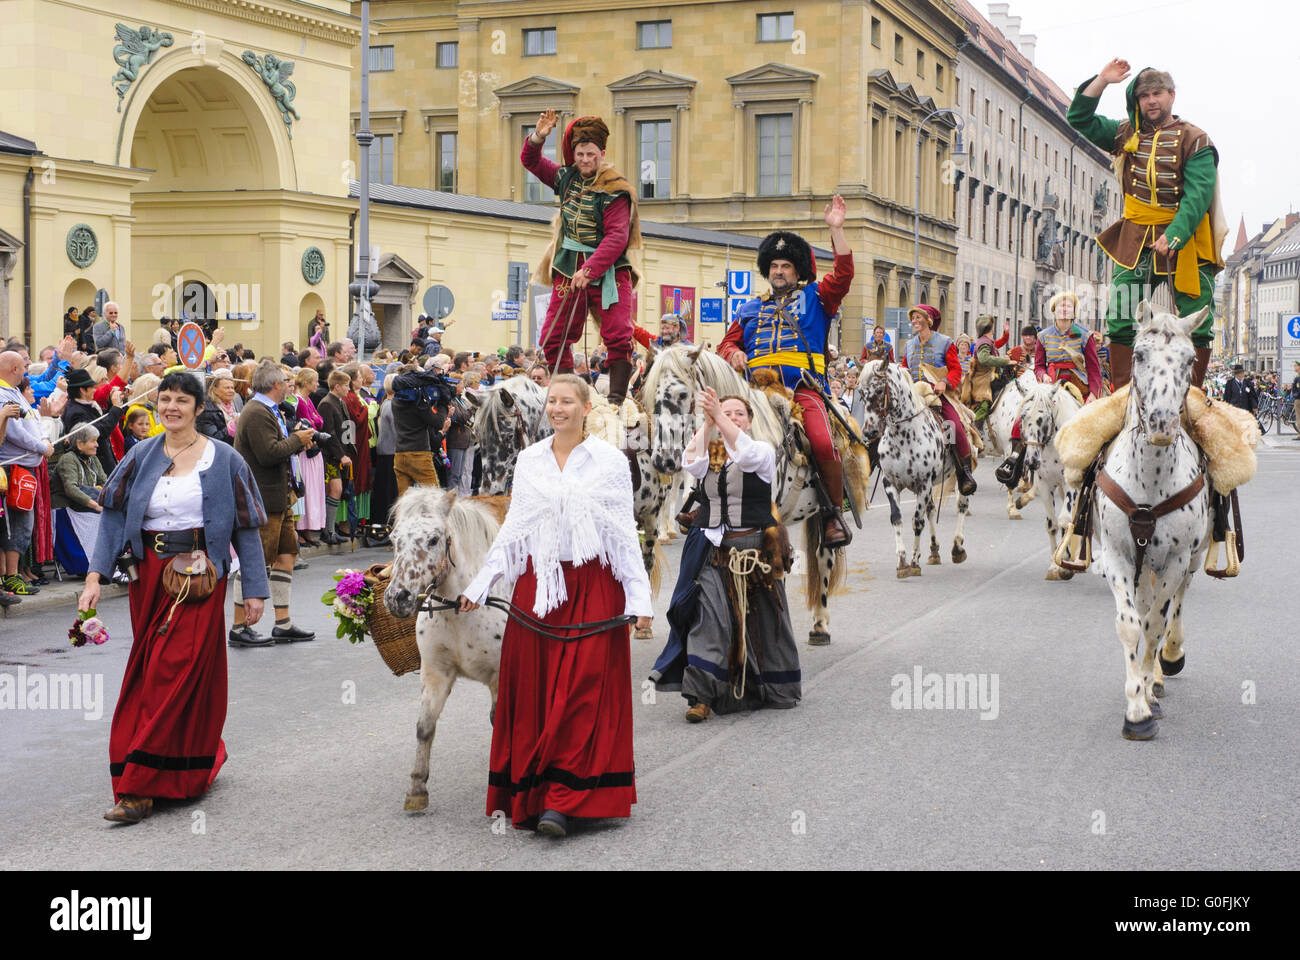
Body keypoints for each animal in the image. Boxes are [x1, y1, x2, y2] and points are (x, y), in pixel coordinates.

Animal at [379, 486, 506, 806]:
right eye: (393, 539)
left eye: (434, 539)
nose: (397, 597)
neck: (462, 607)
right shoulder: (435, 672)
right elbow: (424, 726)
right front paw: (417, 787)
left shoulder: (501, 675)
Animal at [857, 353, 972, 572]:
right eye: (860, 393)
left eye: (879, 390)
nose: (869, 432)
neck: (904, 437)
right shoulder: (891, 483)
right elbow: (897, 518)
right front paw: (902, 560)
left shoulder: (923, 483)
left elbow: (917, 521)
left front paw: (914, 561)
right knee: (931, 510)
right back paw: (934, 550)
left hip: (959, 476)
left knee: (962, 504)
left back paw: (958, 546)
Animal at [1013, 379, 1086, 574]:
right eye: (1023, 417)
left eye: (1042, 418)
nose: (1031, 461)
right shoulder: (1045, 484)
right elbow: (1052, 524)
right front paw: (1055, 563)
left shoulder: (1070, 485)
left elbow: (1065, 520)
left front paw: (1064, 564)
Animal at [1092, 303, 1211, 738]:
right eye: (1139, 355)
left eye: (1190, 360)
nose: (1162, 424)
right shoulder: (1117, 555)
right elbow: (1131, 624)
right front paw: (1136, 707)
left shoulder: (1176, 560)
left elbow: (1155, 625)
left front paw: (1146, 693)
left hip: (1189, 560)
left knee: (1173, 606)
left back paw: (1166, 664)